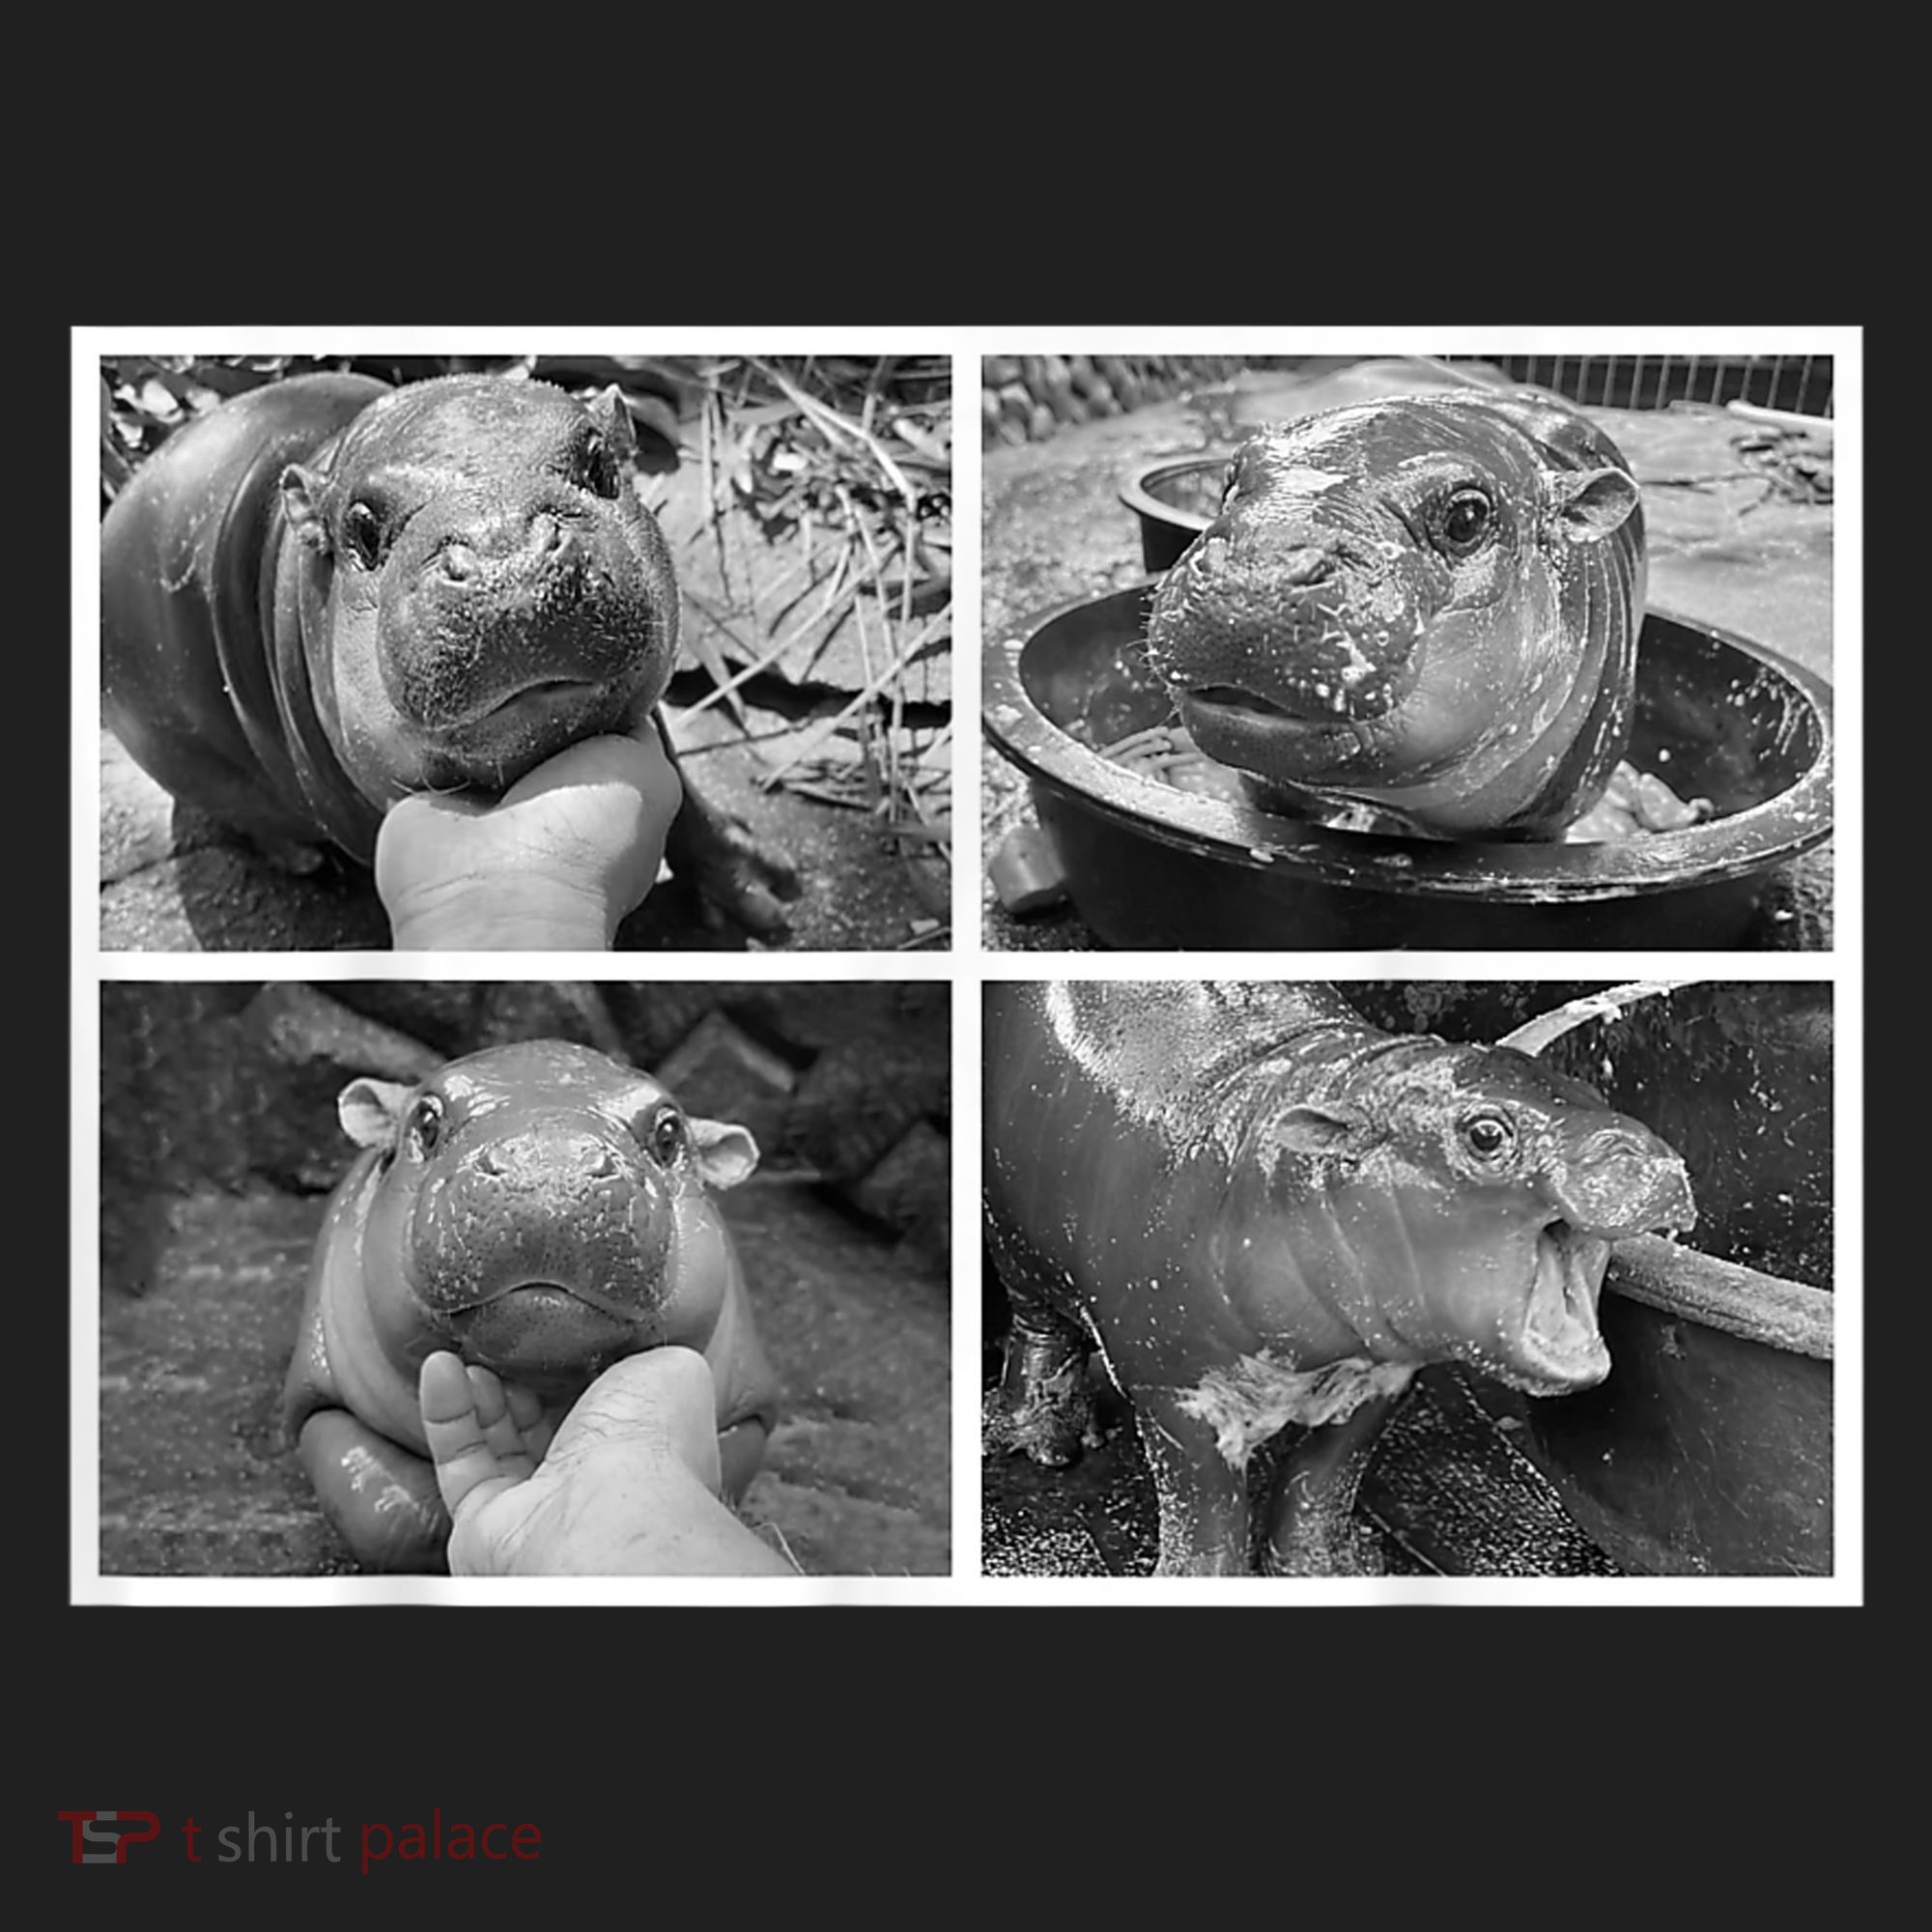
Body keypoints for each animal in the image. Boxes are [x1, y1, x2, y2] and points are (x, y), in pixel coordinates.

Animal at [101, 371, 797, 933]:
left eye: (602, 465)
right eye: (361, 527)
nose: (506, 551)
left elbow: (684, 793)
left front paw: (768, 896)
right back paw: (304, 860)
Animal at [282, 1039, 781, 1571]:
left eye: (669, 1133)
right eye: (426, 1120)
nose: (549, 1167)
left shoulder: (748, 1413)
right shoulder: (319, 1402)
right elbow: (391, 1515)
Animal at [982, 982, 1696, 1575]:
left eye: (1598, 1094)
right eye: (1487, 1135)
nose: (1648, 1157)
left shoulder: (1382, 1376)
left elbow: (1323, 1480)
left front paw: (1330, 1570)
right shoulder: (1172, 1388)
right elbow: (1204, 1511)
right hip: (1014, 1244)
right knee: (1038, 1332)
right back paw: (1044, 1443)